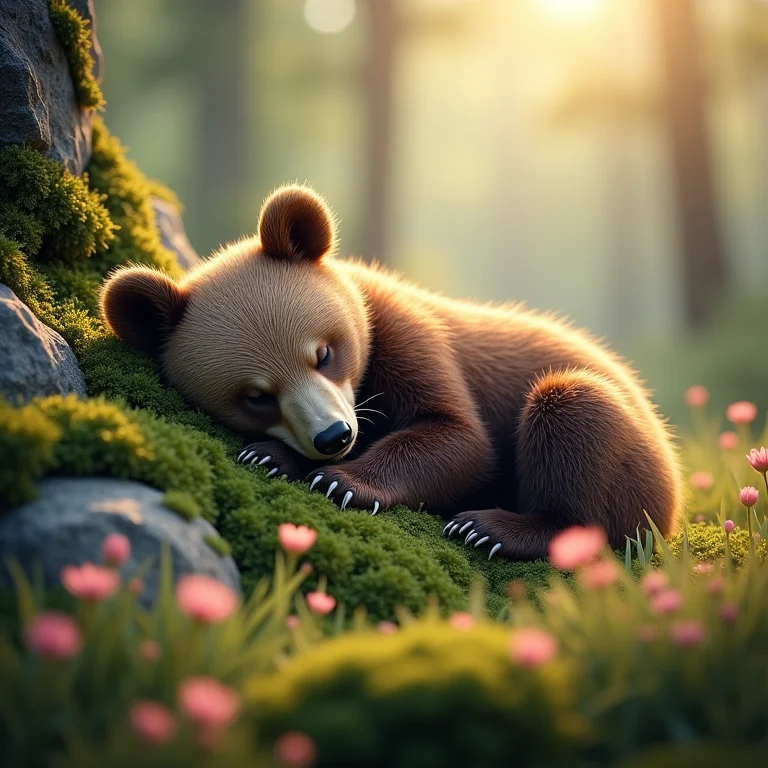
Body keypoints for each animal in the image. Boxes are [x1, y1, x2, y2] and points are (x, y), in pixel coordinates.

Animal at [100, 184, 683, 560]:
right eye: (256, 396)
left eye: (324, 353)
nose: (334, 436)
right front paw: (268, 455)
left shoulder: (406, 331)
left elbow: (458, 437)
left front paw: (344, 483)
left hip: (634, 462)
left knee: (575, 414)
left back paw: (491, 528)